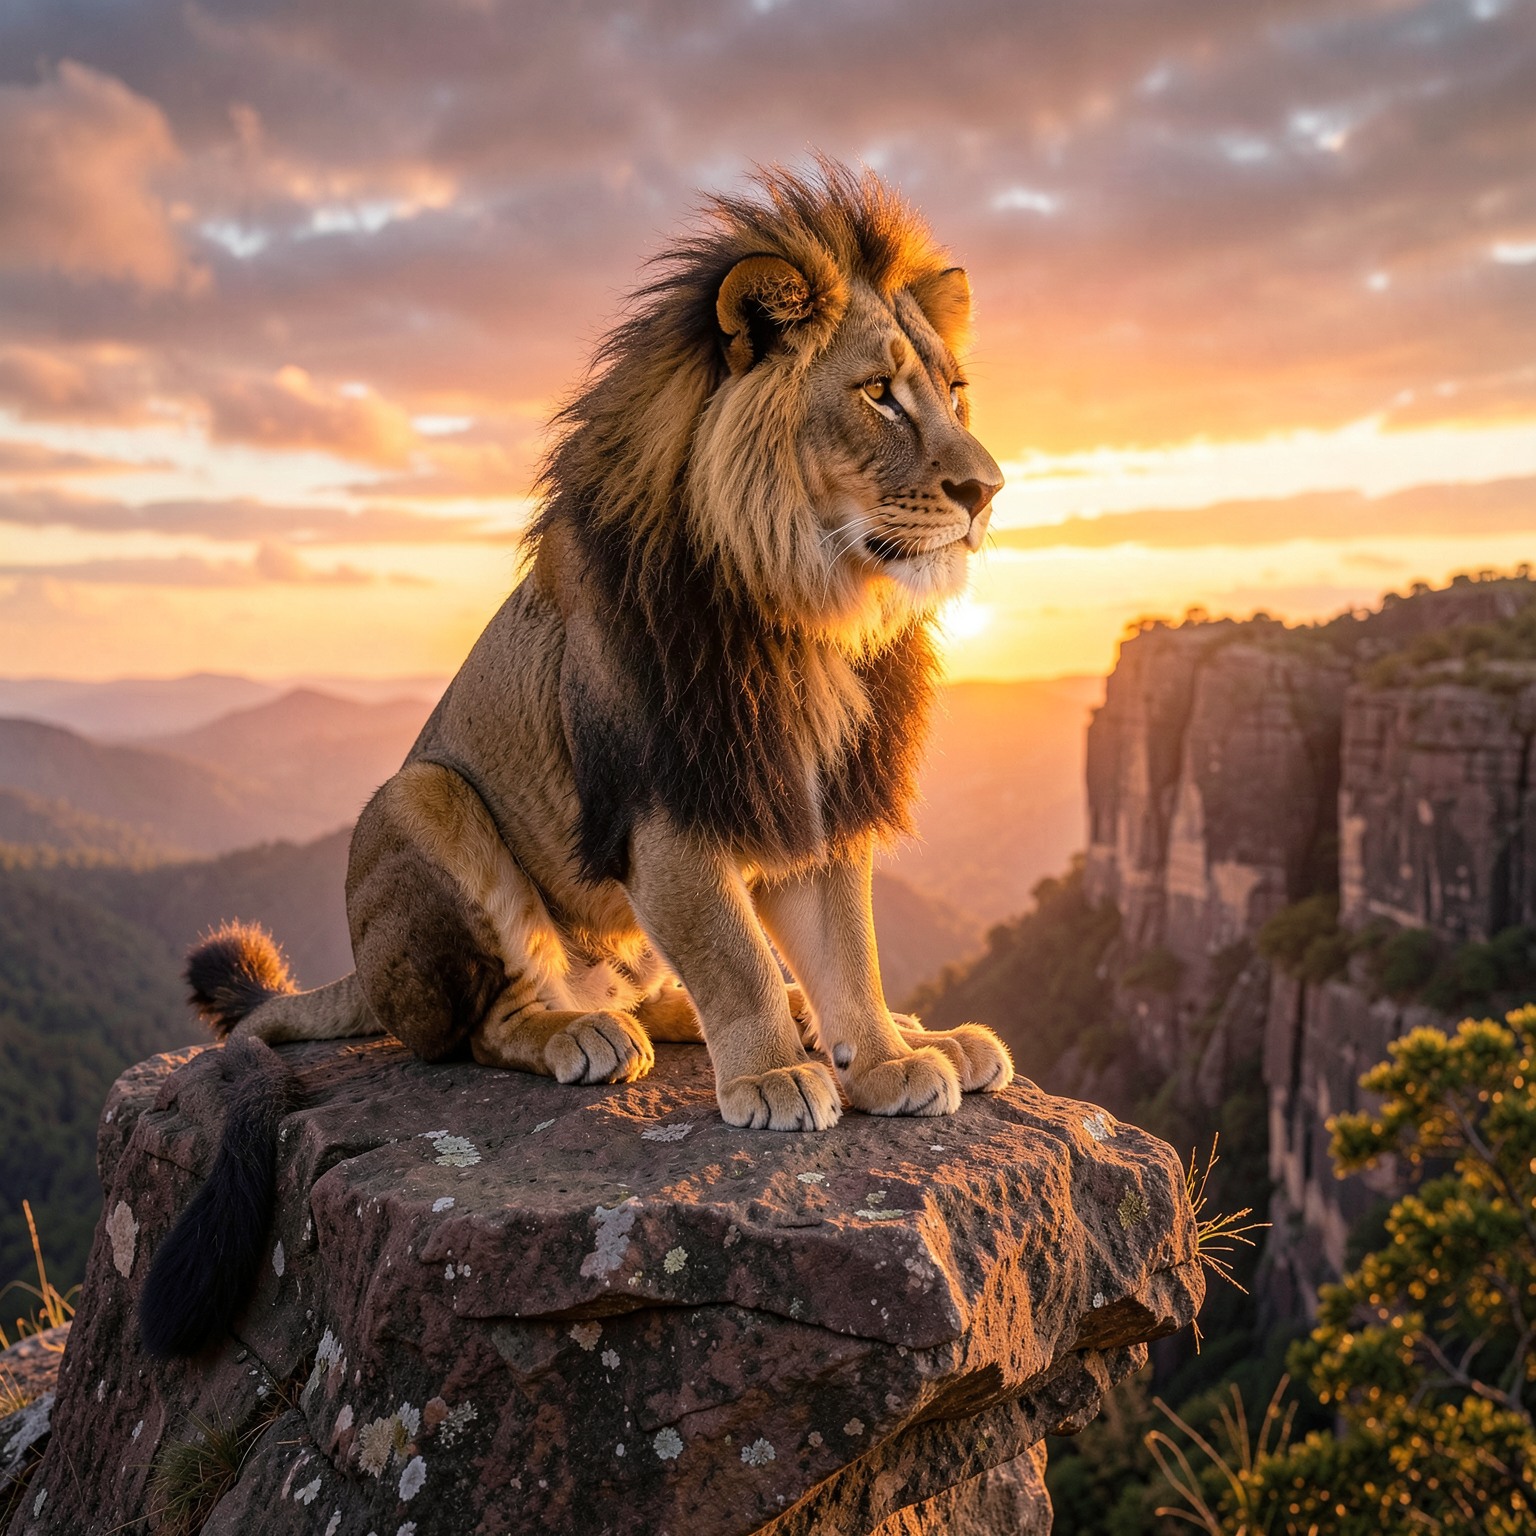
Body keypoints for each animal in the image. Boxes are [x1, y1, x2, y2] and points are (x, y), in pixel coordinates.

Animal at [138, 160, 1013, 1357]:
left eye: (956, 392)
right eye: (878, 392)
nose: (988, 492)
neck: (808, 612)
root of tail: (364, 969)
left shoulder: (815, 803)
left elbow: (848, 952)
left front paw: (877, 1056)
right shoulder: (665, 807)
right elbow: (733, 950)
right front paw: (777, 1079)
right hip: (422, 799)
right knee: (475, 1026)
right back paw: (593, 1033)